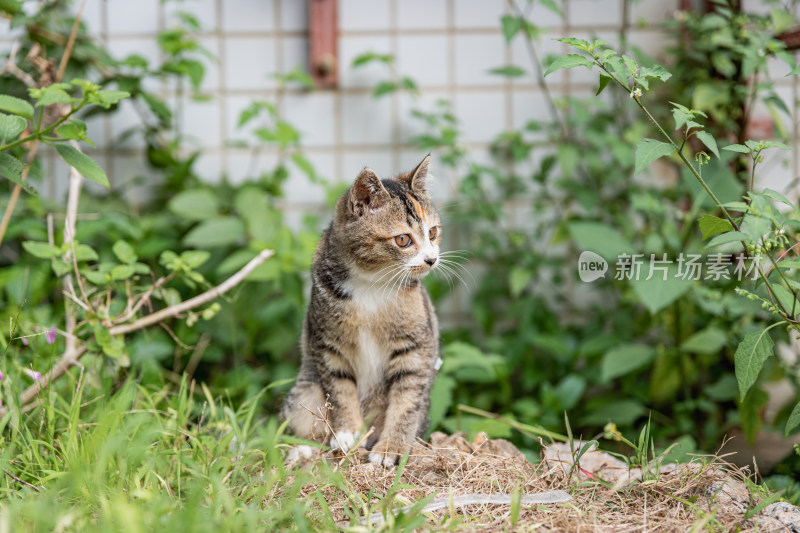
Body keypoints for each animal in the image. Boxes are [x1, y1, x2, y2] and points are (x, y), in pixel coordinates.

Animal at [282, 153, 444, 466]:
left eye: (432, 232)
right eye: (403, 239)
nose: (431, 259)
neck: (373, 284)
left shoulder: (416, 347)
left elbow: (407, 401)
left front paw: (391, 448)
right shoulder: (328, 344)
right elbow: (340, 390)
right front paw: (348, 434)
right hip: (305, 389)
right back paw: (304, 450)